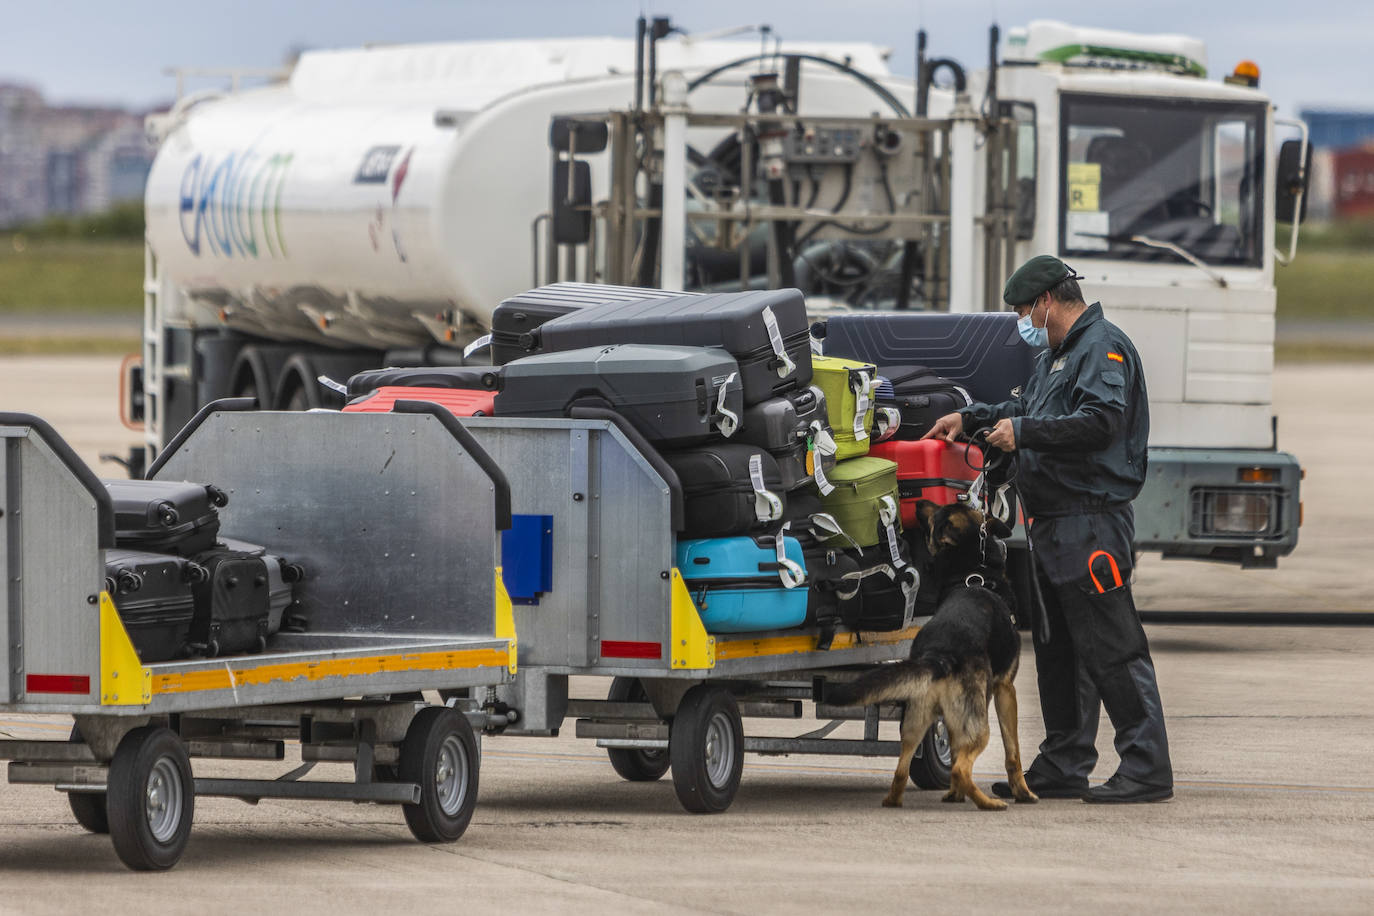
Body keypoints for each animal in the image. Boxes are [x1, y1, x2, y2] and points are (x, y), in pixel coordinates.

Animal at [818, 502, 1033, 807]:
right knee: (961, 767)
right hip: (977, 724)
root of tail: (939, 654)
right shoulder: (1005, 689)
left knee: (903, 770)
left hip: (916, 722)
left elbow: (954, 750)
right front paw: (1023, 793)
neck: (973, 574)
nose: (919, 503)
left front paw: (954, 795)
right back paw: (988, 803)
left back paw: (898, 801)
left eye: (939, 511)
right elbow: (1012, 753)